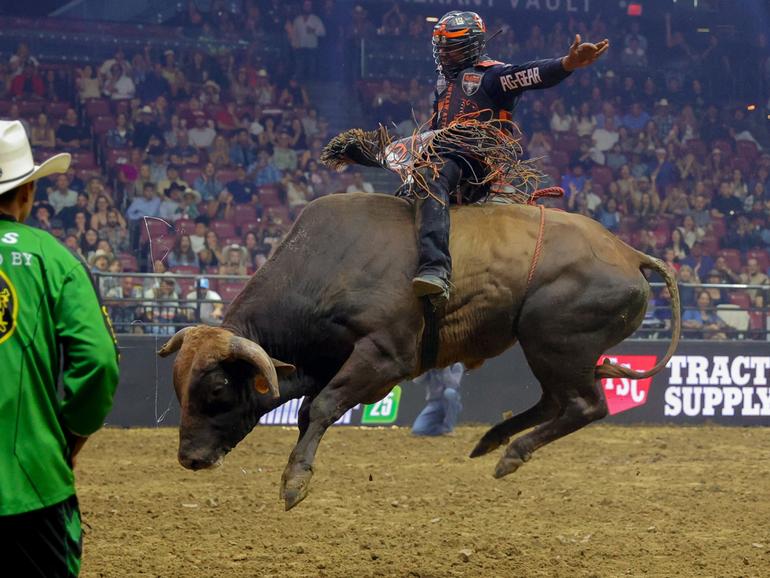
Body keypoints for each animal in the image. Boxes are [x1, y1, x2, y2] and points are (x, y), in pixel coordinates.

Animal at [156, 192, 680, 508]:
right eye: (178, 388)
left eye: (218, 388)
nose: (190, 458)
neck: (329, 266)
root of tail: (630, 254)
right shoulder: (323, 361)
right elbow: (308, 408)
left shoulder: (384, 357)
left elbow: (321, 407)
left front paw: (294, 482)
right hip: (550, 349)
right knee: (556, 402)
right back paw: (492, 440)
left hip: (555, 342)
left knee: (584, 405)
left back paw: (512, 452)